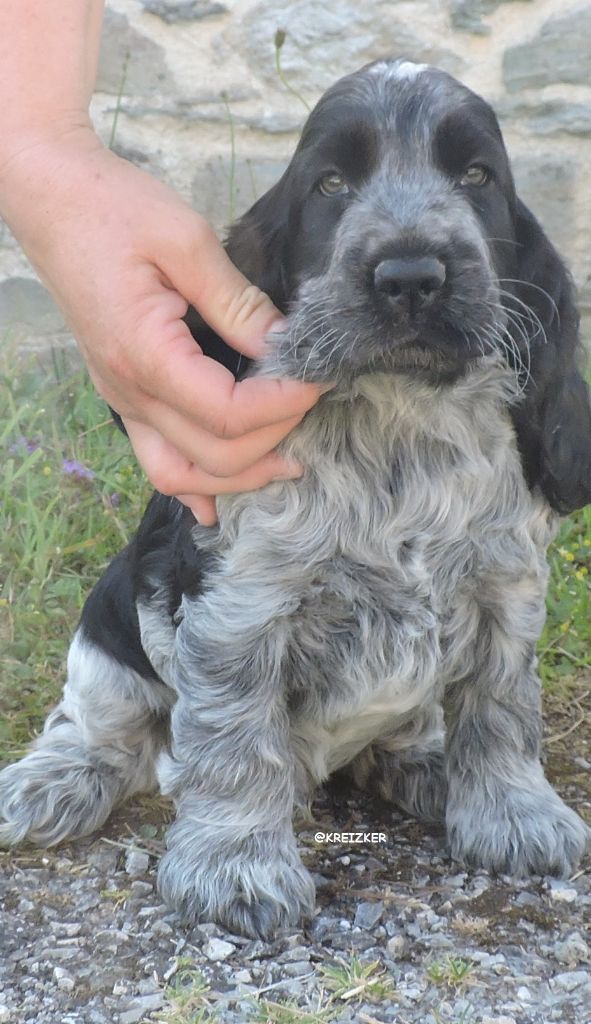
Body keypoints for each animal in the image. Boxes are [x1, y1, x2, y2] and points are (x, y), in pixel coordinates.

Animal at [1, 59, 591, 940]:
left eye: (476, 177)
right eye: (331, 184)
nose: (410, 276)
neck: (396, 419)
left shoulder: (505, 587)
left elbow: (499, 705)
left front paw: (516, 814)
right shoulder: (241, 608)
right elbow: (235, 740)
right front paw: (235, 868)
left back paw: (425, 764)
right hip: (109, 622)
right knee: (99, 725)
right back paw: (48, 784)